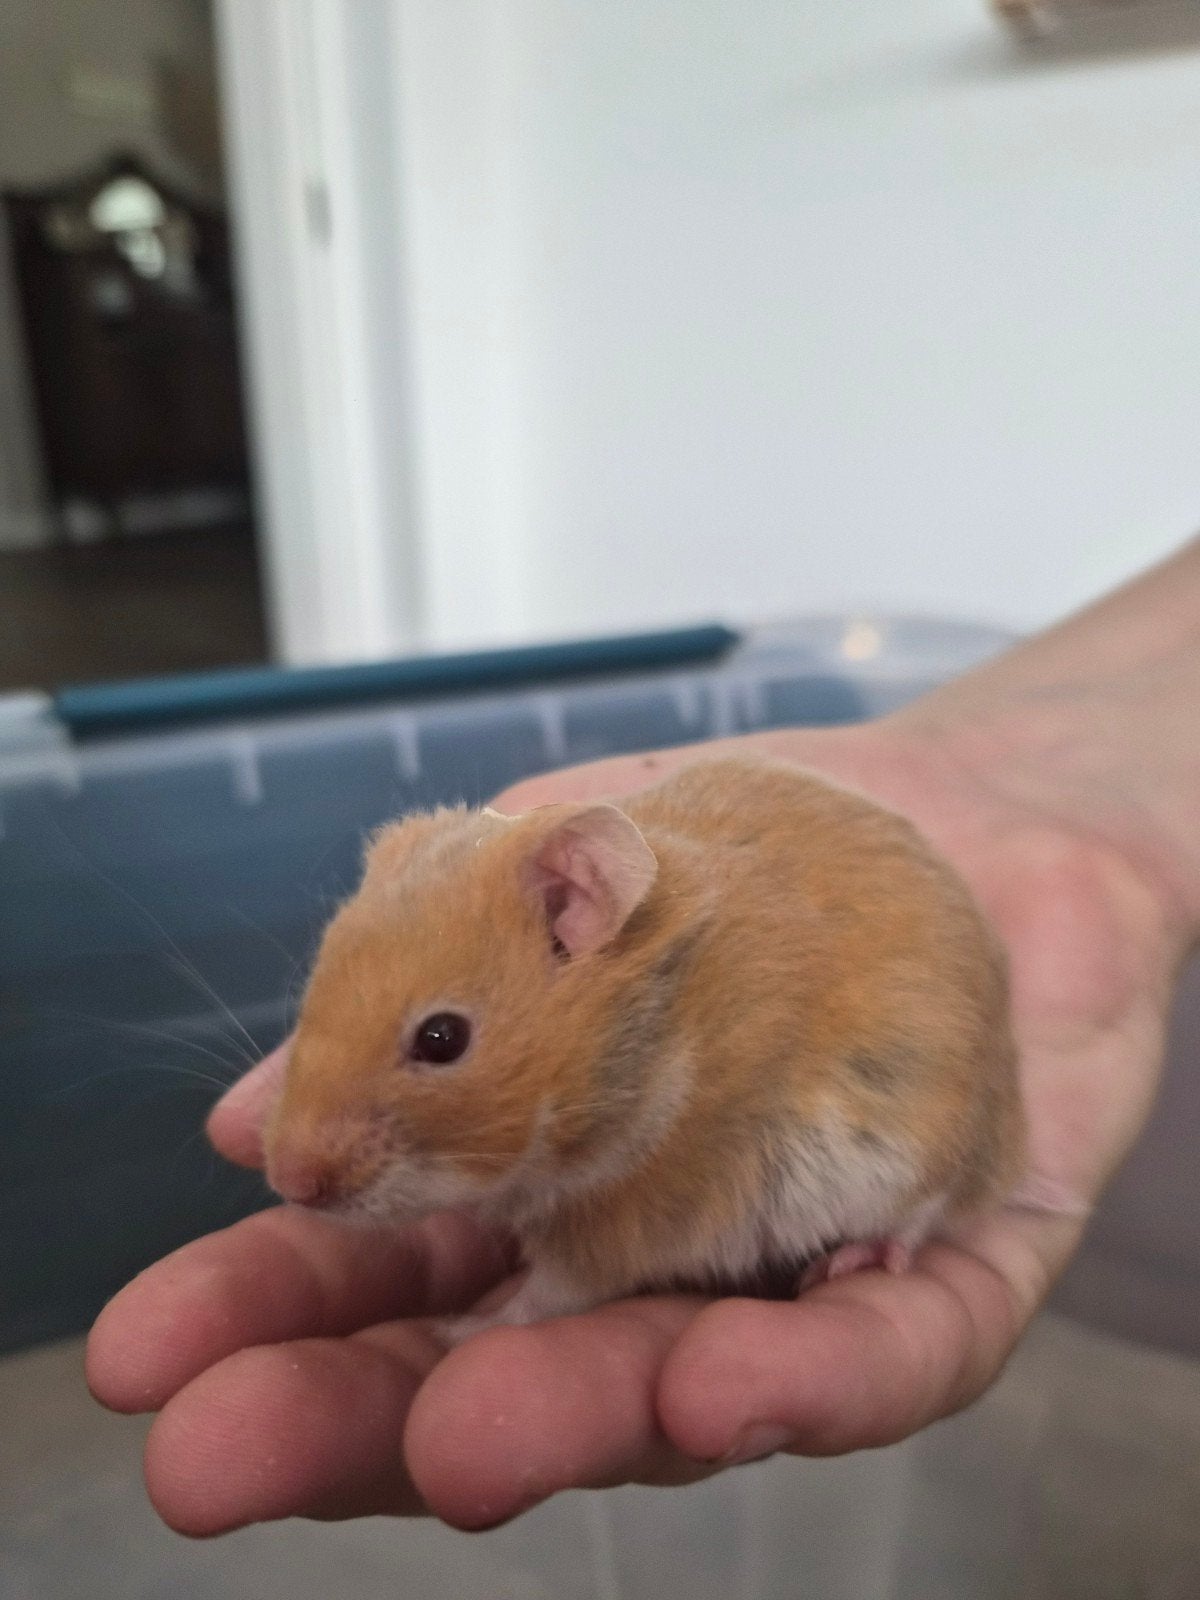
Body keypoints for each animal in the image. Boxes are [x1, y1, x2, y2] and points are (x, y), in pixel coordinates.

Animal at [263, 756, 1024, 1338]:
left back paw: (851, 1260)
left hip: (923, 1135)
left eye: (441, 1038)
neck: (655, 1052)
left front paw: (453, 1331)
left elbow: (542, 1298)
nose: (289, 1185)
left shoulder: (619, 1230)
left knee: (928, 1214)